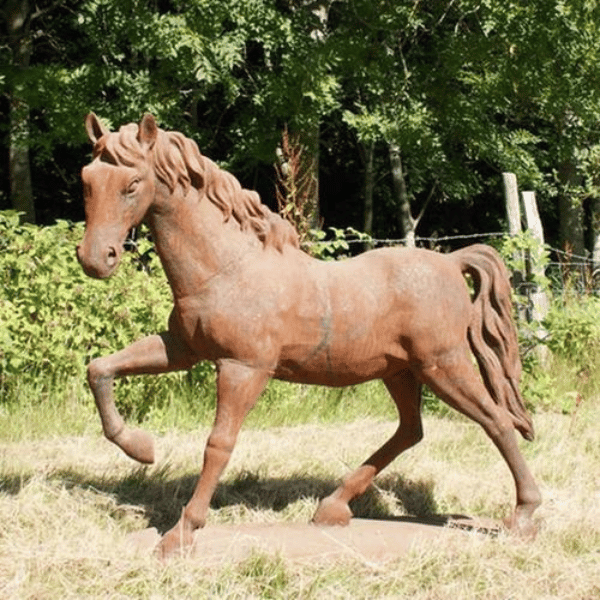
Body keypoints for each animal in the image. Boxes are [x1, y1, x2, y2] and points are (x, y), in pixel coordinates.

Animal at [77, 113, 540, 556]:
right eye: (87, 180)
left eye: (132, 184)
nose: (96, 259)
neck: (226, 267)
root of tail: (452, 262)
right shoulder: (183, 349)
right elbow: (100, 368)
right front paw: (141, 448)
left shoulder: (244, 368)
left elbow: (219, 443)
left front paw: (180, 534)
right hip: (400, 371)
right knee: (411, 430)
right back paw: (332, 508)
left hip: (444, 366)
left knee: (497, 420)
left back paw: (524, 516)